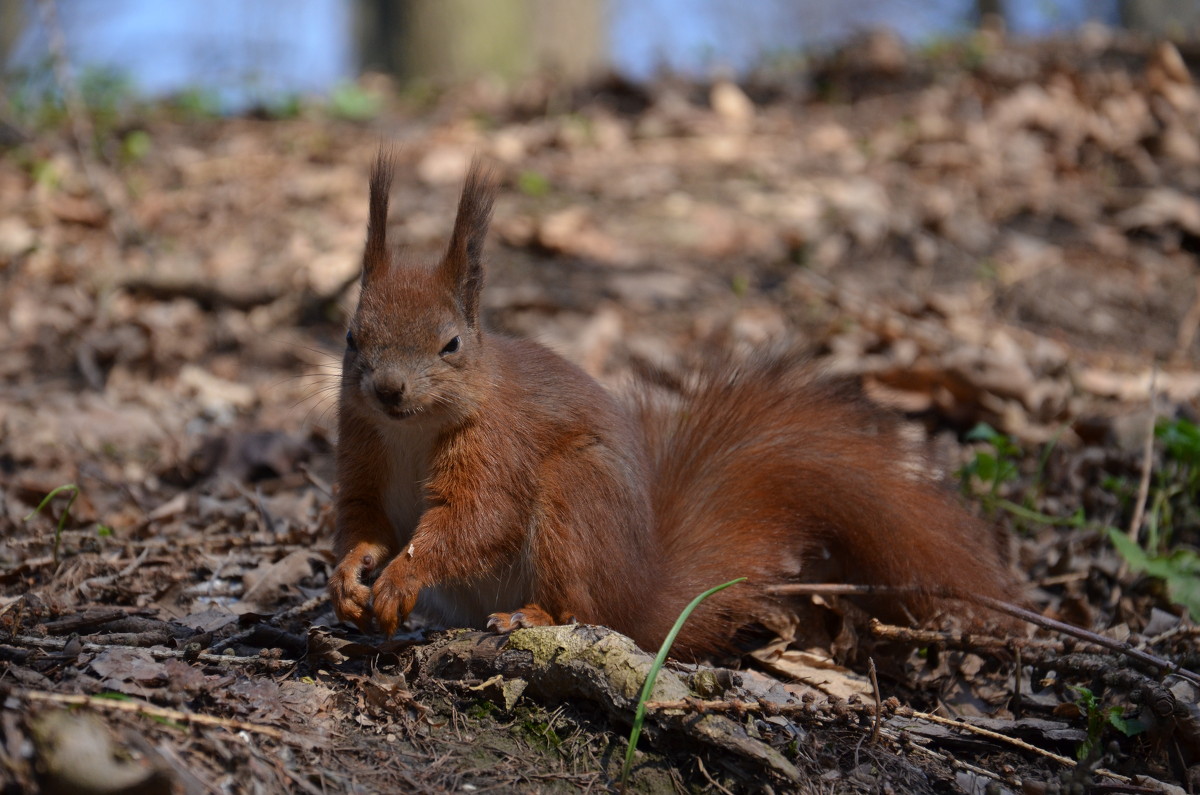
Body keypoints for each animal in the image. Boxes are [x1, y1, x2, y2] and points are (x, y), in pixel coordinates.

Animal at [326, 153, 1012, 658]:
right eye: (352, 336)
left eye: (451, 345)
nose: (388, 390)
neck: (412, 430)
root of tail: (643, 596)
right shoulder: (361, 446)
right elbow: (366, 520)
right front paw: (350, 575)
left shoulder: (498, 445)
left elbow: (477, 519)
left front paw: (402, 576)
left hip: (578, 498)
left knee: (584, 608)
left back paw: (532, 615)